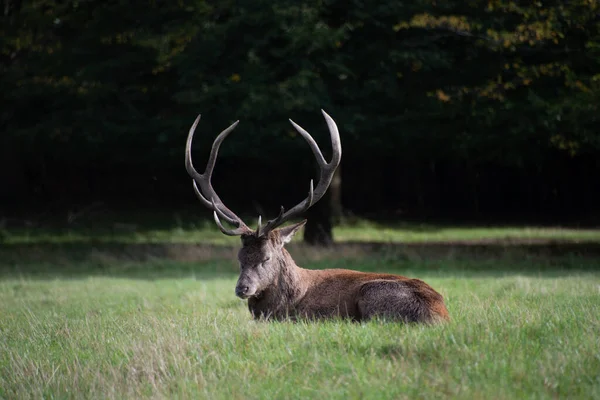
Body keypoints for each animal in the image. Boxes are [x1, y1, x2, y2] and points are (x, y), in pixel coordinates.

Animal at [185, 111, 448, 324]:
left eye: (266, 258)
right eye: (239, 258)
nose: (242, 288)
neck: (283, 305)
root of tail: (440, 314)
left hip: (373, 295)